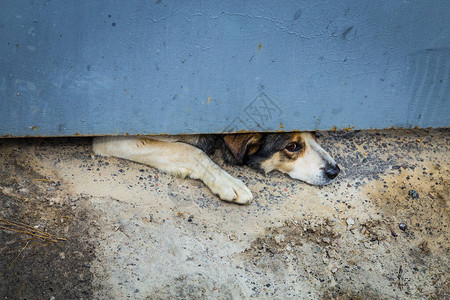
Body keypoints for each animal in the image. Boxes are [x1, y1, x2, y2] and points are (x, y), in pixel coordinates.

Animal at [93, 133, 340, 205]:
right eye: (292, 146)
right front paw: (228, 182)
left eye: (315, 135)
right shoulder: (109, 139)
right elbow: (192, 151)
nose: (335, 171)